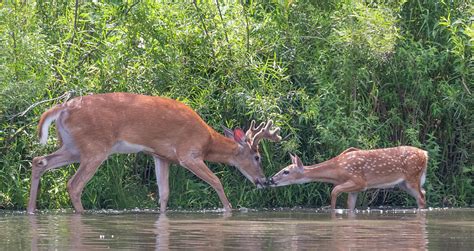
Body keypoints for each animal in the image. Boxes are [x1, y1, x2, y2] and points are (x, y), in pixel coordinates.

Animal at [26, 92, 282, 214]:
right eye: (257, 157)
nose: (264, 181)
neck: (207, 140)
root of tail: (62, 108)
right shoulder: (188, 153)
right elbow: (216, 181)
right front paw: (229, 210)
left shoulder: (161, 156)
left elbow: (164, 193)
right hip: (94, 148)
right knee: (74, 184)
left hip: (72, 147)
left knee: (39, 161)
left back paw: (30, 211)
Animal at [268, 146, 428, 211]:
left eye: (286, 171)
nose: (271, 180)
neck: (337, 170)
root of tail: (425, 154)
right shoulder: (354, 189)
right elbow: (350, 206)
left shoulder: (359, 182)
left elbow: (334, 191)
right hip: (403, 184)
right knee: (423, 194)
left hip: (412, 177)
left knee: (421, 197)